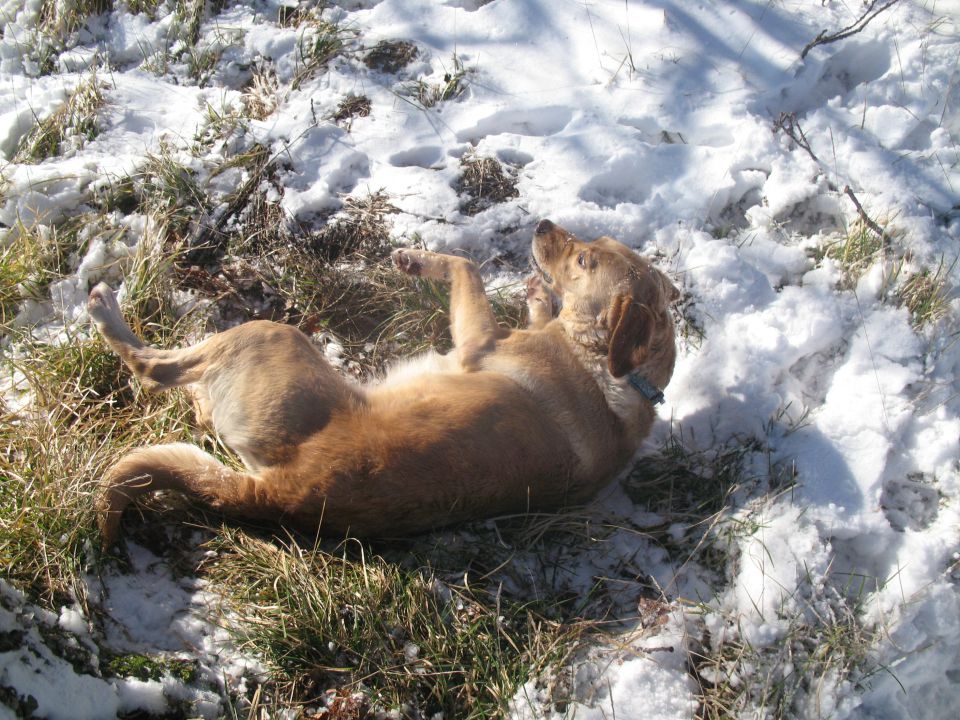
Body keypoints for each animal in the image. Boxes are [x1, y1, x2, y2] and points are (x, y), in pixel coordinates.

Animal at [88, 219, 676, 544]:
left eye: (584, 259)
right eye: (593, 244)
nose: (543, 224)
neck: (615, 366)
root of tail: (282, 493)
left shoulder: (477, 339)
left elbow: (465, 265)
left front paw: (417, 259)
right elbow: (511, 293)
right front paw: (535, 295)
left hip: (270, 337)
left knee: (155, 369)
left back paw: (104, 309)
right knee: (194, 399)